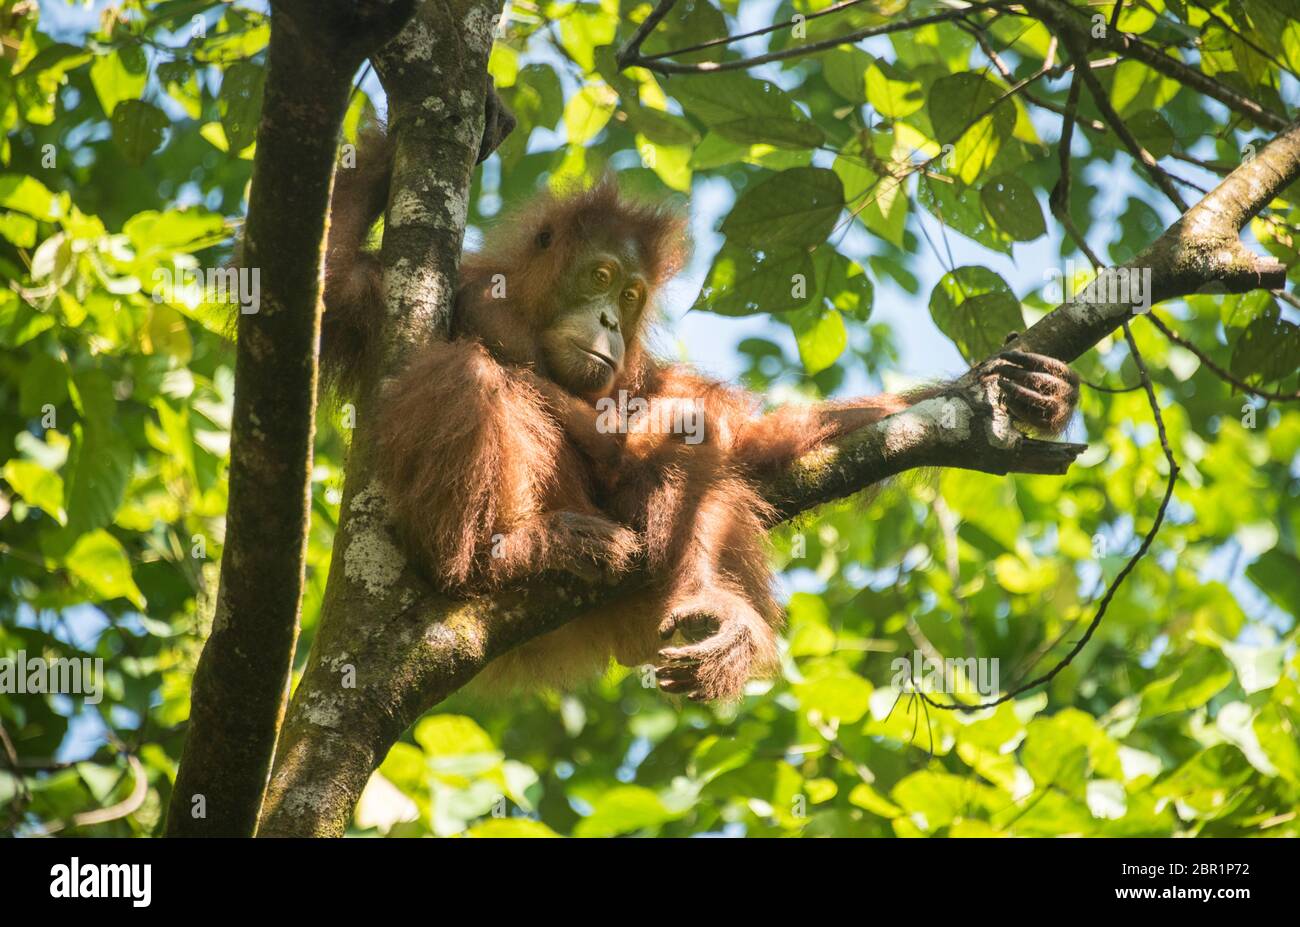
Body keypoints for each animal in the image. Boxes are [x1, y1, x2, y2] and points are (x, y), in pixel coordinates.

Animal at [321, 130, 1082, 701]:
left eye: (631, 296)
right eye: (600, 277)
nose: (609, 320)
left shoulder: (639, 373)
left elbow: (738, 436)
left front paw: (1008, 391)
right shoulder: (398, 296)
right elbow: (332, 288)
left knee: (689, 444)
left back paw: (711, 603)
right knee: (464, 374)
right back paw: (496, 554)